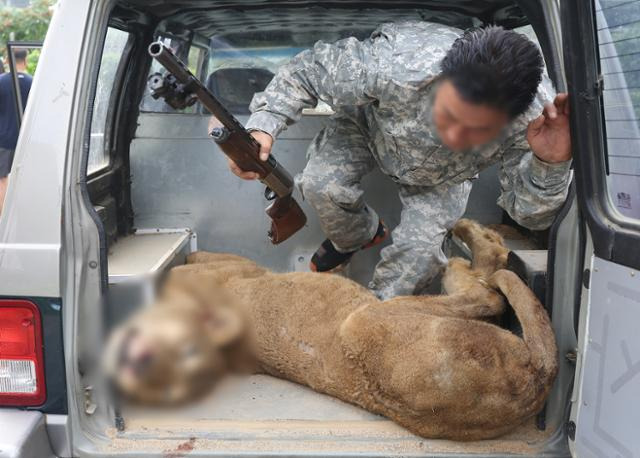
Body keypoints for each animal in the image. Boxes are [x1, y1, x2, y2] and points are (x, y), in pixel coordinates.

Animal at [104, 220, 556, 442]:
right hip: (371, 316)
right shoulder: (222, 268)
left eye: (187, 354)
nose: (138, 367)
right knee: (487, 288)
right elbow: (198, 255)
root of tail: (533, 384)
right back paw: (467, 237)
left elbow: (200, 253)